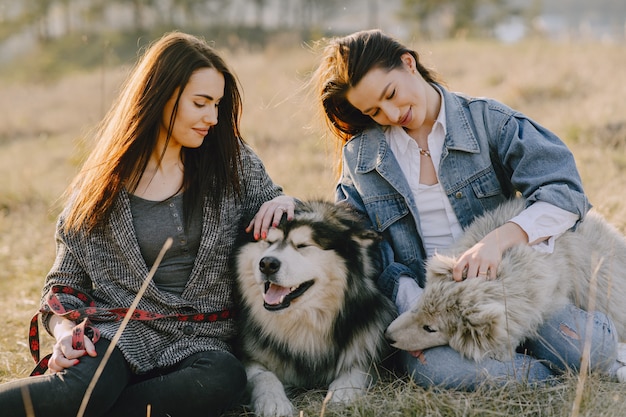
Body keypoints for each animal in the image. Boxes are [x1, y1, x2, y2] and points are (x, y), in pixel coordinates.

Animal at [234, 200, 394, 414]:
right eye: (268, 243)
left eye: (303, 245)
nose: (267, 263)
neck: (303, 323)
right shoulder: (249, 357)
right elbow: (263, 376)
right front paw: (273, 402)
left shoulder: (366, 345)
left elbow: (357, 370)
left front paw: (342, 394)